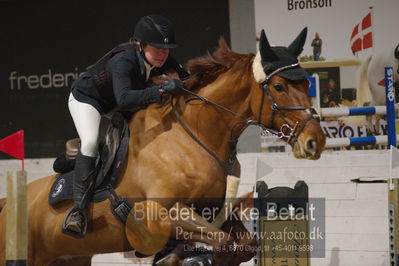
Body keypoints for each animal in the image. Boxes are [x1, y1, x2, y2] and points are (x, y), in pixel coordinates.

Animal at [0, 28, 324, 264]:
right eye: (279, 87)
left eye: (306, 83)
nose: (316, 141)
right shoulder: (159, 214)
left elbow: (243, 244)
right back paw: (76, 220)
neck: (194, 137)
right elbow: (219, 243)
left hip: (70, 258)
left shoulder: (213, 211)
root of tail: (7, 205)